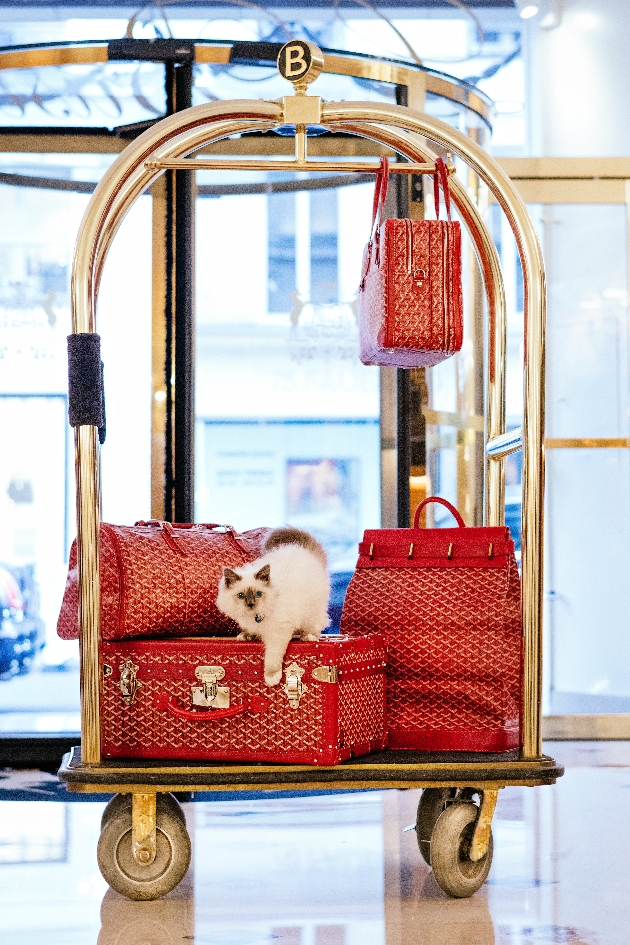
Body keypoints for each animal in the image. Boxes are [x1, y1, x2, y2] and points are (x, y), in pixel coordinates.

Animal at [217, 524, 330, 684]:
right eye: (241, 596)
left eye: (258, 594)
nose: (251, 604)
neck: (256, 617)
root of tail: (305, 551)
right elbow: (251, 632)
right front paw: (248, 636)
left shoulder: (279, 630)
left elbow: (272, 656)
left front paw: (271, 677)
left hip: (312, 612)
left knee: (317, 625)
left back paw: (308, 636)